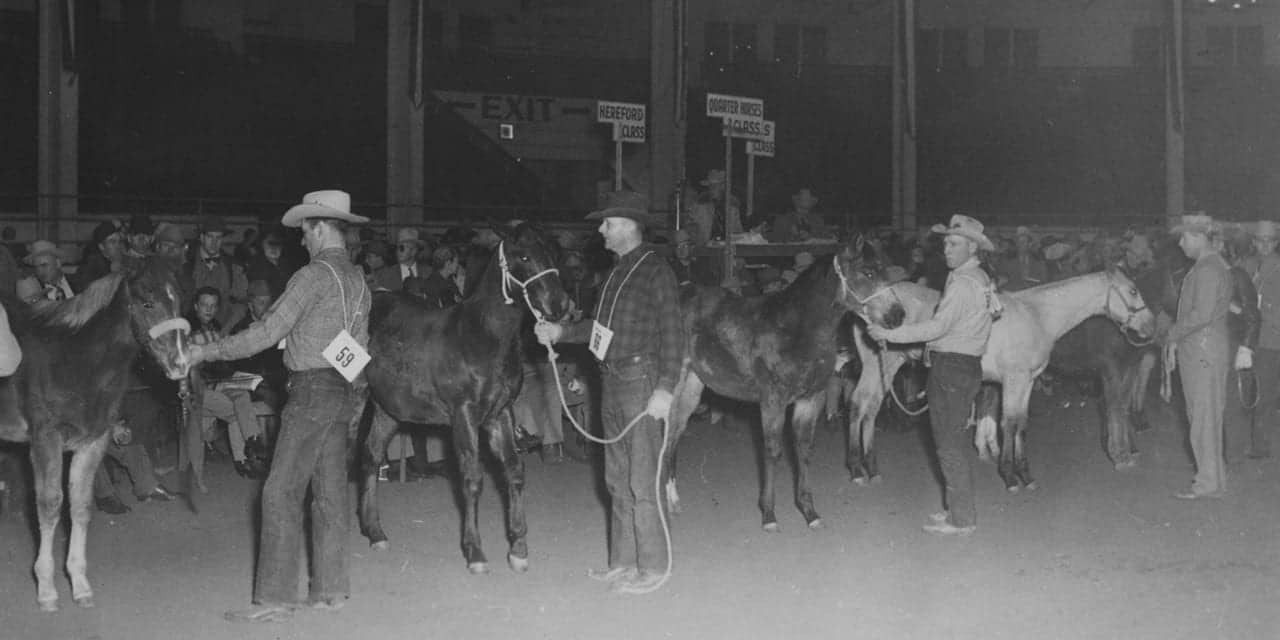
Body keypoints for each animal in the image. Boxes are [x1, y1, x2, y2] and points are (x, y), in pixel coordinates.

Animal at [0, 257, 192, 611]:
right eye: (148, 302)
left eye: (179, 301)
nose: (180, 364)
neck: (74, 360)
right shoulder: (45, 441)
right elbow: (50, 505)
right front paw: (46, 590)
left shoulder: (92, 442)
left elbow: (79, 505)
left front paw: (79, 585)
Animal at [355, 226, 565, 576]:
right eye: (524, 256)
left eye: (551, 252)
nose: (560, 304)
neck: (481, 336)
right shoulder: (463, 416)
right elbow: (471, 477)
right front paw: (475, 552)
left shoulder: (499, 414)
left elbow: (514, 470)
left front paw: (518, 549)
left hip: (387, 410)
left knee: (370, 456)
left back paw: (375, 533)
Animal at [660, 239, 890, 529]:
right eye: (867, 273)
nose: (898, 314)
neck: (795, 328)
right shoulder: (772, 400)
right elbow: (772, 452)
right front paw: (769, 514)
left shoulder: (810, 399)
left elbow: (803, 450)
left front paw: (809, 512)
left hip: (691, 386)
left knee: (674, 432)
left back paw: (672, 500)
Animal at [849, 268, 1162, 488]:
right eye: (1133, 290)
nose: (1150, 326)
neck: (1038, 315)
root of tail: (865, 307)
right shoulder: (1015, 380)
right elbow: (1009, 423)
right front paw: (1010, 476)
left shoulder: (1029, 381)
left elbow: (1020, 423)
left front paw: (1025, 474)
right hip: (883, 365)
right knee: (862, 406)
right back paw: (857, 469)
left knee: (866, 407)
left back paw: (868, 468)